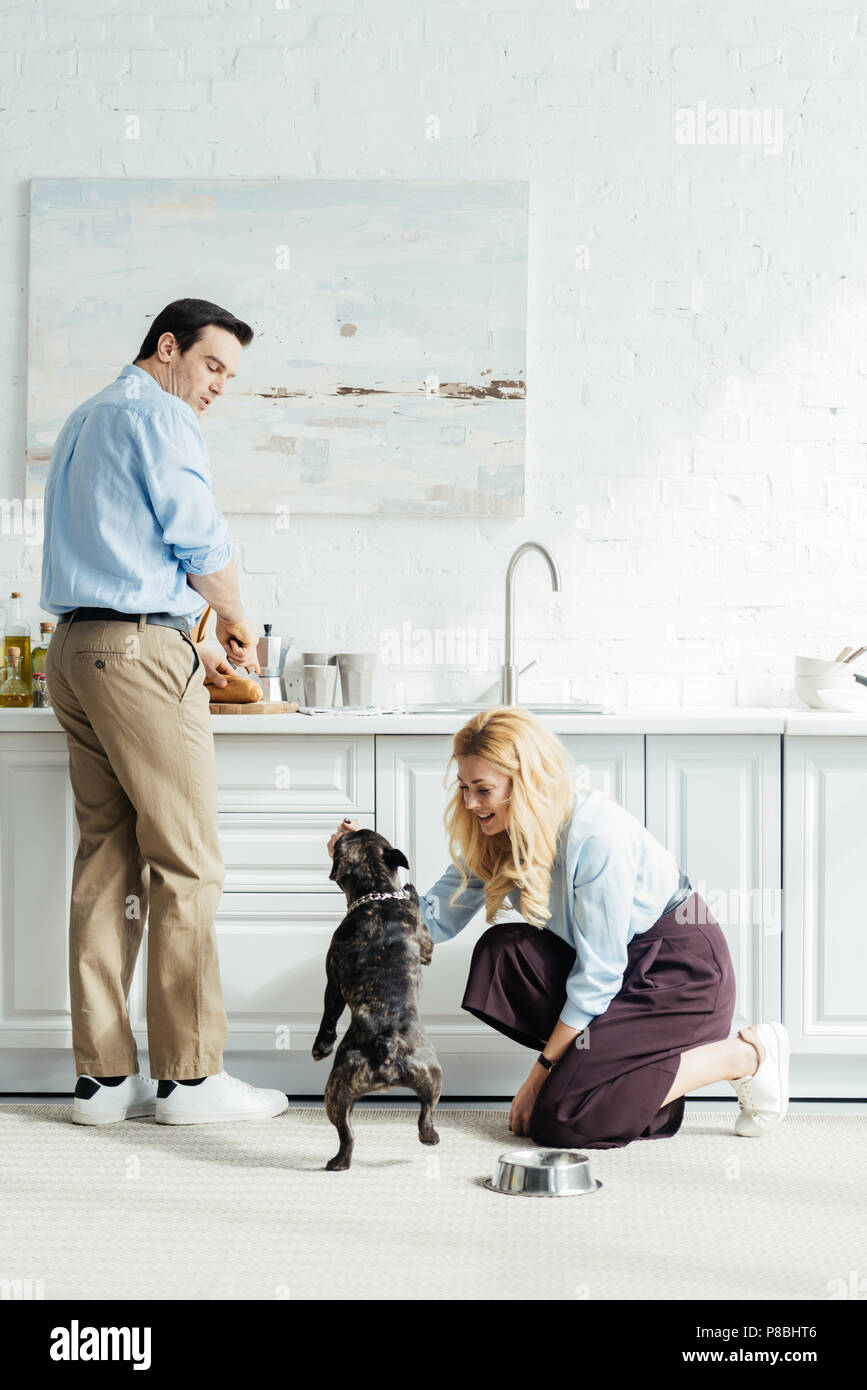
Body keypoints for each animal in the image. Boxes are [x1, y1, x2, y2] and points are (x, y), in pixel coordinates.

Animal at [312, 828, 447, 1167]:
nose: (346, 827)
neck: (377, 892)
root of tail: (387, 1042)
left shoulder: (332, 981)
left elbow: (328, 1015)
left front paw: (321, 1046)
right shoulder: (425, 945)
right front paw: (410, 891)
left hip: (337, 1088)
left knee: (347, 1134)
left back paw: (338, 1163)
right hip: (431, 1075)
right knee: (425, 1116)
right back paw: (430, 1138)